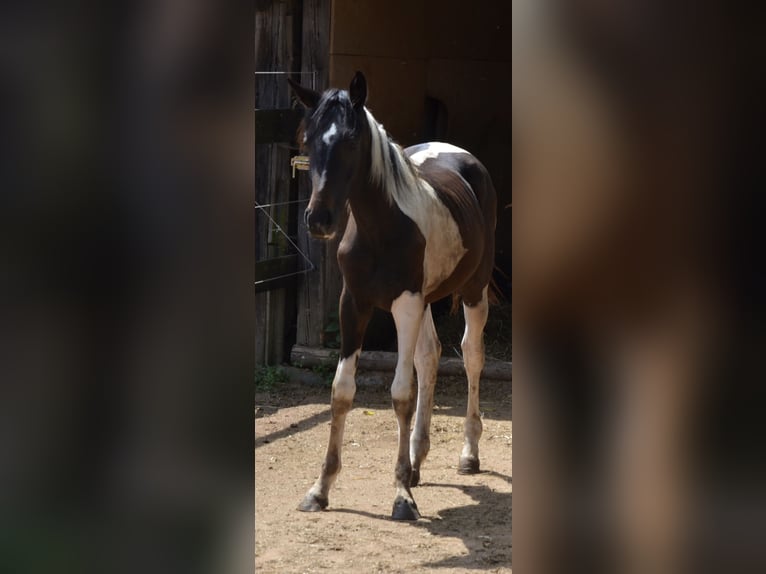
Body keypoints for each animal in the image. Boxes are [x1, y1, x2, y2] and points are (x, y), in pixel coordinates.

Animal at [288, 72, 498, 520]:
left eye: (351, 140)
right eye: (308, 140)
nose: (318, 220)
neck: (380, 228)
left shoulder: (405, 303)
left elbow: (401, 393)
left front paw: (401, 495)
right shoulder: (353, 304)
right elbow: (342, 391)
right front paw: (320, 489)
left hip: (471, 290)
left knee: (471, 356)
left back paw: (468, 454)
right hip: (426, 300)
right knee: (430, 355)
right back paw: (417, 461)